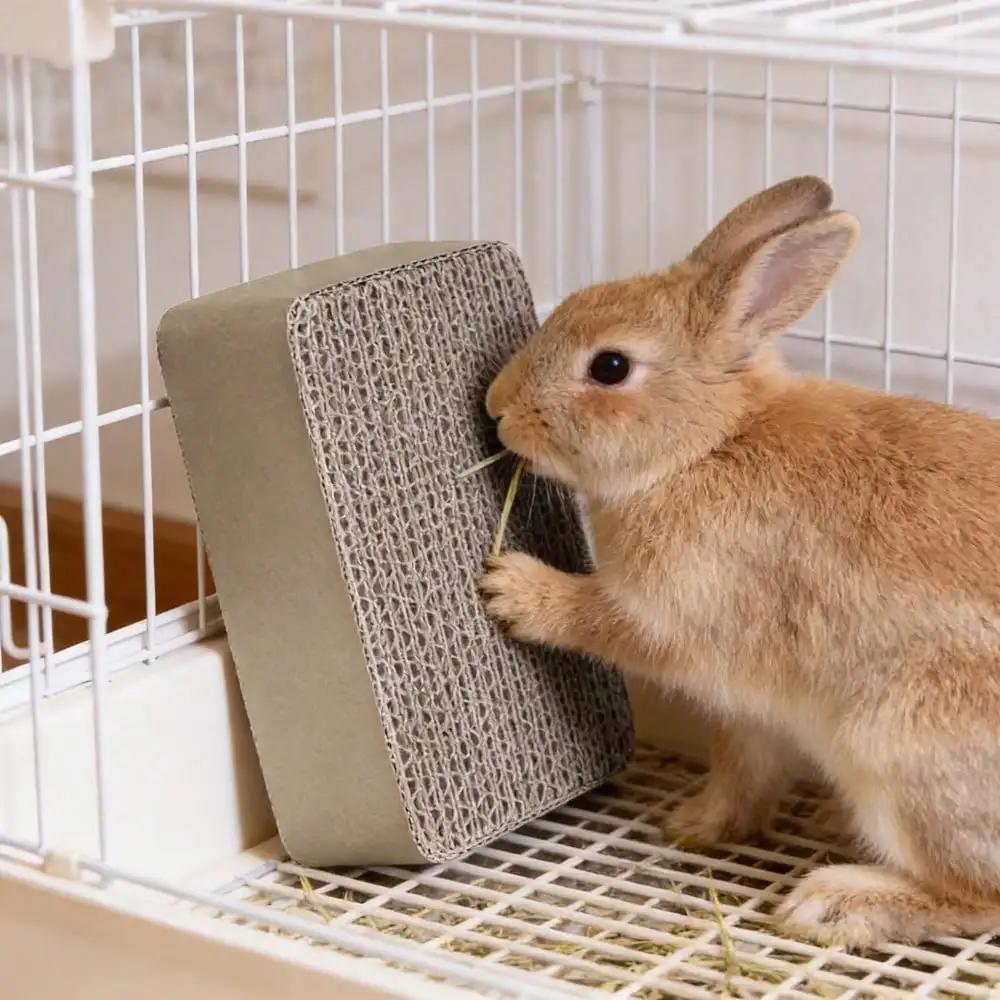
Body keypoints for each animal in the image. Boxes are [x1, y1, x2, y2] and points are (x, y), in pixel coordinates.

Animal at [479, 175, 1000, 949]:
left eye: (610, 366)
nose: (497, 408)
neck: (707, 445)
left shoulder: (680, 612)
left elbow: (603, 622)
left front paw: (513, 588)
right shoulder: (756, 711)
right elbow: (743, 767)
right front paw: (697, 824)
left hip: (903, 748)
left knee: (976, 894)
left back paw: (836, 902)